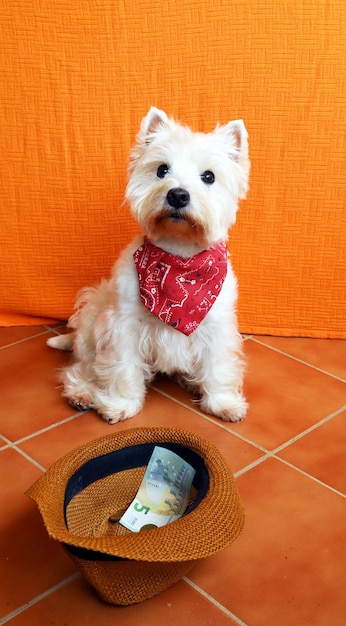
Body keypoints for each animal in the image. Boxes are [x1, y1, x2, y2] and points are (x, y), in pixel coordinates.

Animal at [48, 107, 249, 424]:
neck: (179, 258)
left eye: (209, 176)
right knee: (82, 367)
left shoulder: (217, 326)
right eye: (161, 170)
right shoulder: (123, 326)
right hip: (93, 319)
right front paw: (121, 404)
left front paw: (223, 403)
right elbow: (122, 367)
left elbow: (219, 366)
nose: (177, 195)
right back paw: (82, 393)